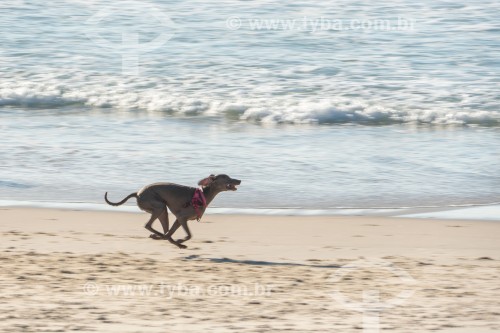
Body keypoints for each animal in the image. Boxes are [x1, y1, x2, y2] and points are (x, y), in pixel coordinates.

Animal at [104, 174, 241, 246]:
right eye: (226, 177)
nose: (239, 180)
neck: (203, 194)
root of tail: (137, 193)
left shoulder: (179, 220)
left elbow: (171, 233)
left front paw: (173, 239)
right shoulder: (182, 217)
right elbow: (189, 235)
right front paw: (180, 240)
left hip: (162, 210)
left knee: (165, 231)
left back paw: (160, 236)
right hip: (159, 206)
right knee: (150, 226)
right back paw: (168, 239)